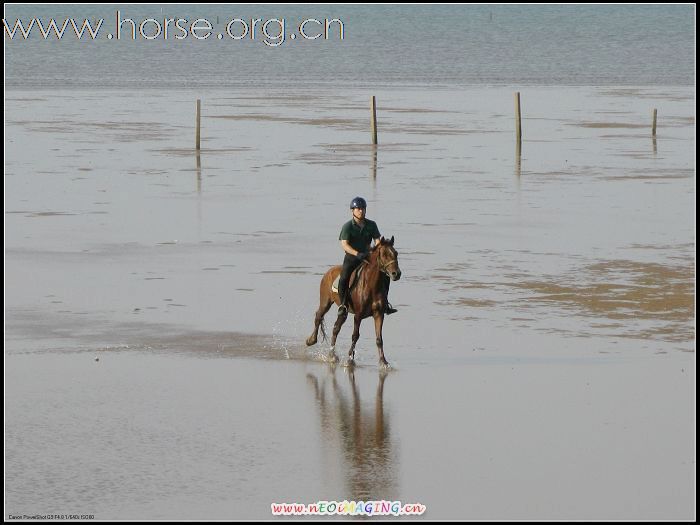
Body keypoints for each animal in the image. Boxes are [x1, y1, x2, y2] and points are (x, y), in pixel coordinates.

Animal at [304, 235, 402, 366]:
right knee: (318, 316)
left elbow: (379, 339)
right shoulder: (358, 315)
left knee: (336, 328)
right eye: (384, 254)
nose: (397, 274)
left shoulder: (379, 314)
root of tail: (329, 272)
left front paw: (383, 362)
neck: (372, 285)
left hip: (343, 312)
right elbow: (355, 335)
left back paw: (332, 355)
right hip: (325, 302)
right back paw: (311, 340)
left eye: (396, 253)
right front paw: (350, 358)